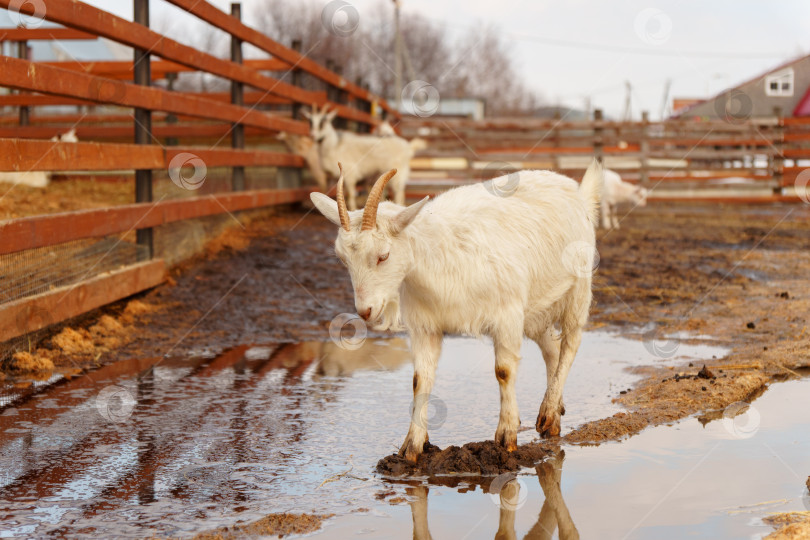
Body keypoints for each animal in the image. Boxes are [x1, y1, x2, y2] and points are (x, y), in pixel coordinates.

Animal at [312, 159, 604, 460]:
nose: (365, 311)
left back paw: (548, 414)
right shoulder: (425, 325)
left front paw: (506, 436)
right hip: (535, 308)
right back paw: (553, 412)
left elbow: (504, 371)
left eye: (383, 256)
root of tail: (577, 191)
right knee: (551, 348)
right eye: (342, 258)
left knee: (570, 343)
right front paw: (412, 446)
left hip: (578, 289)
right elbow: (420, 379)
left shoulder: (507, 315)